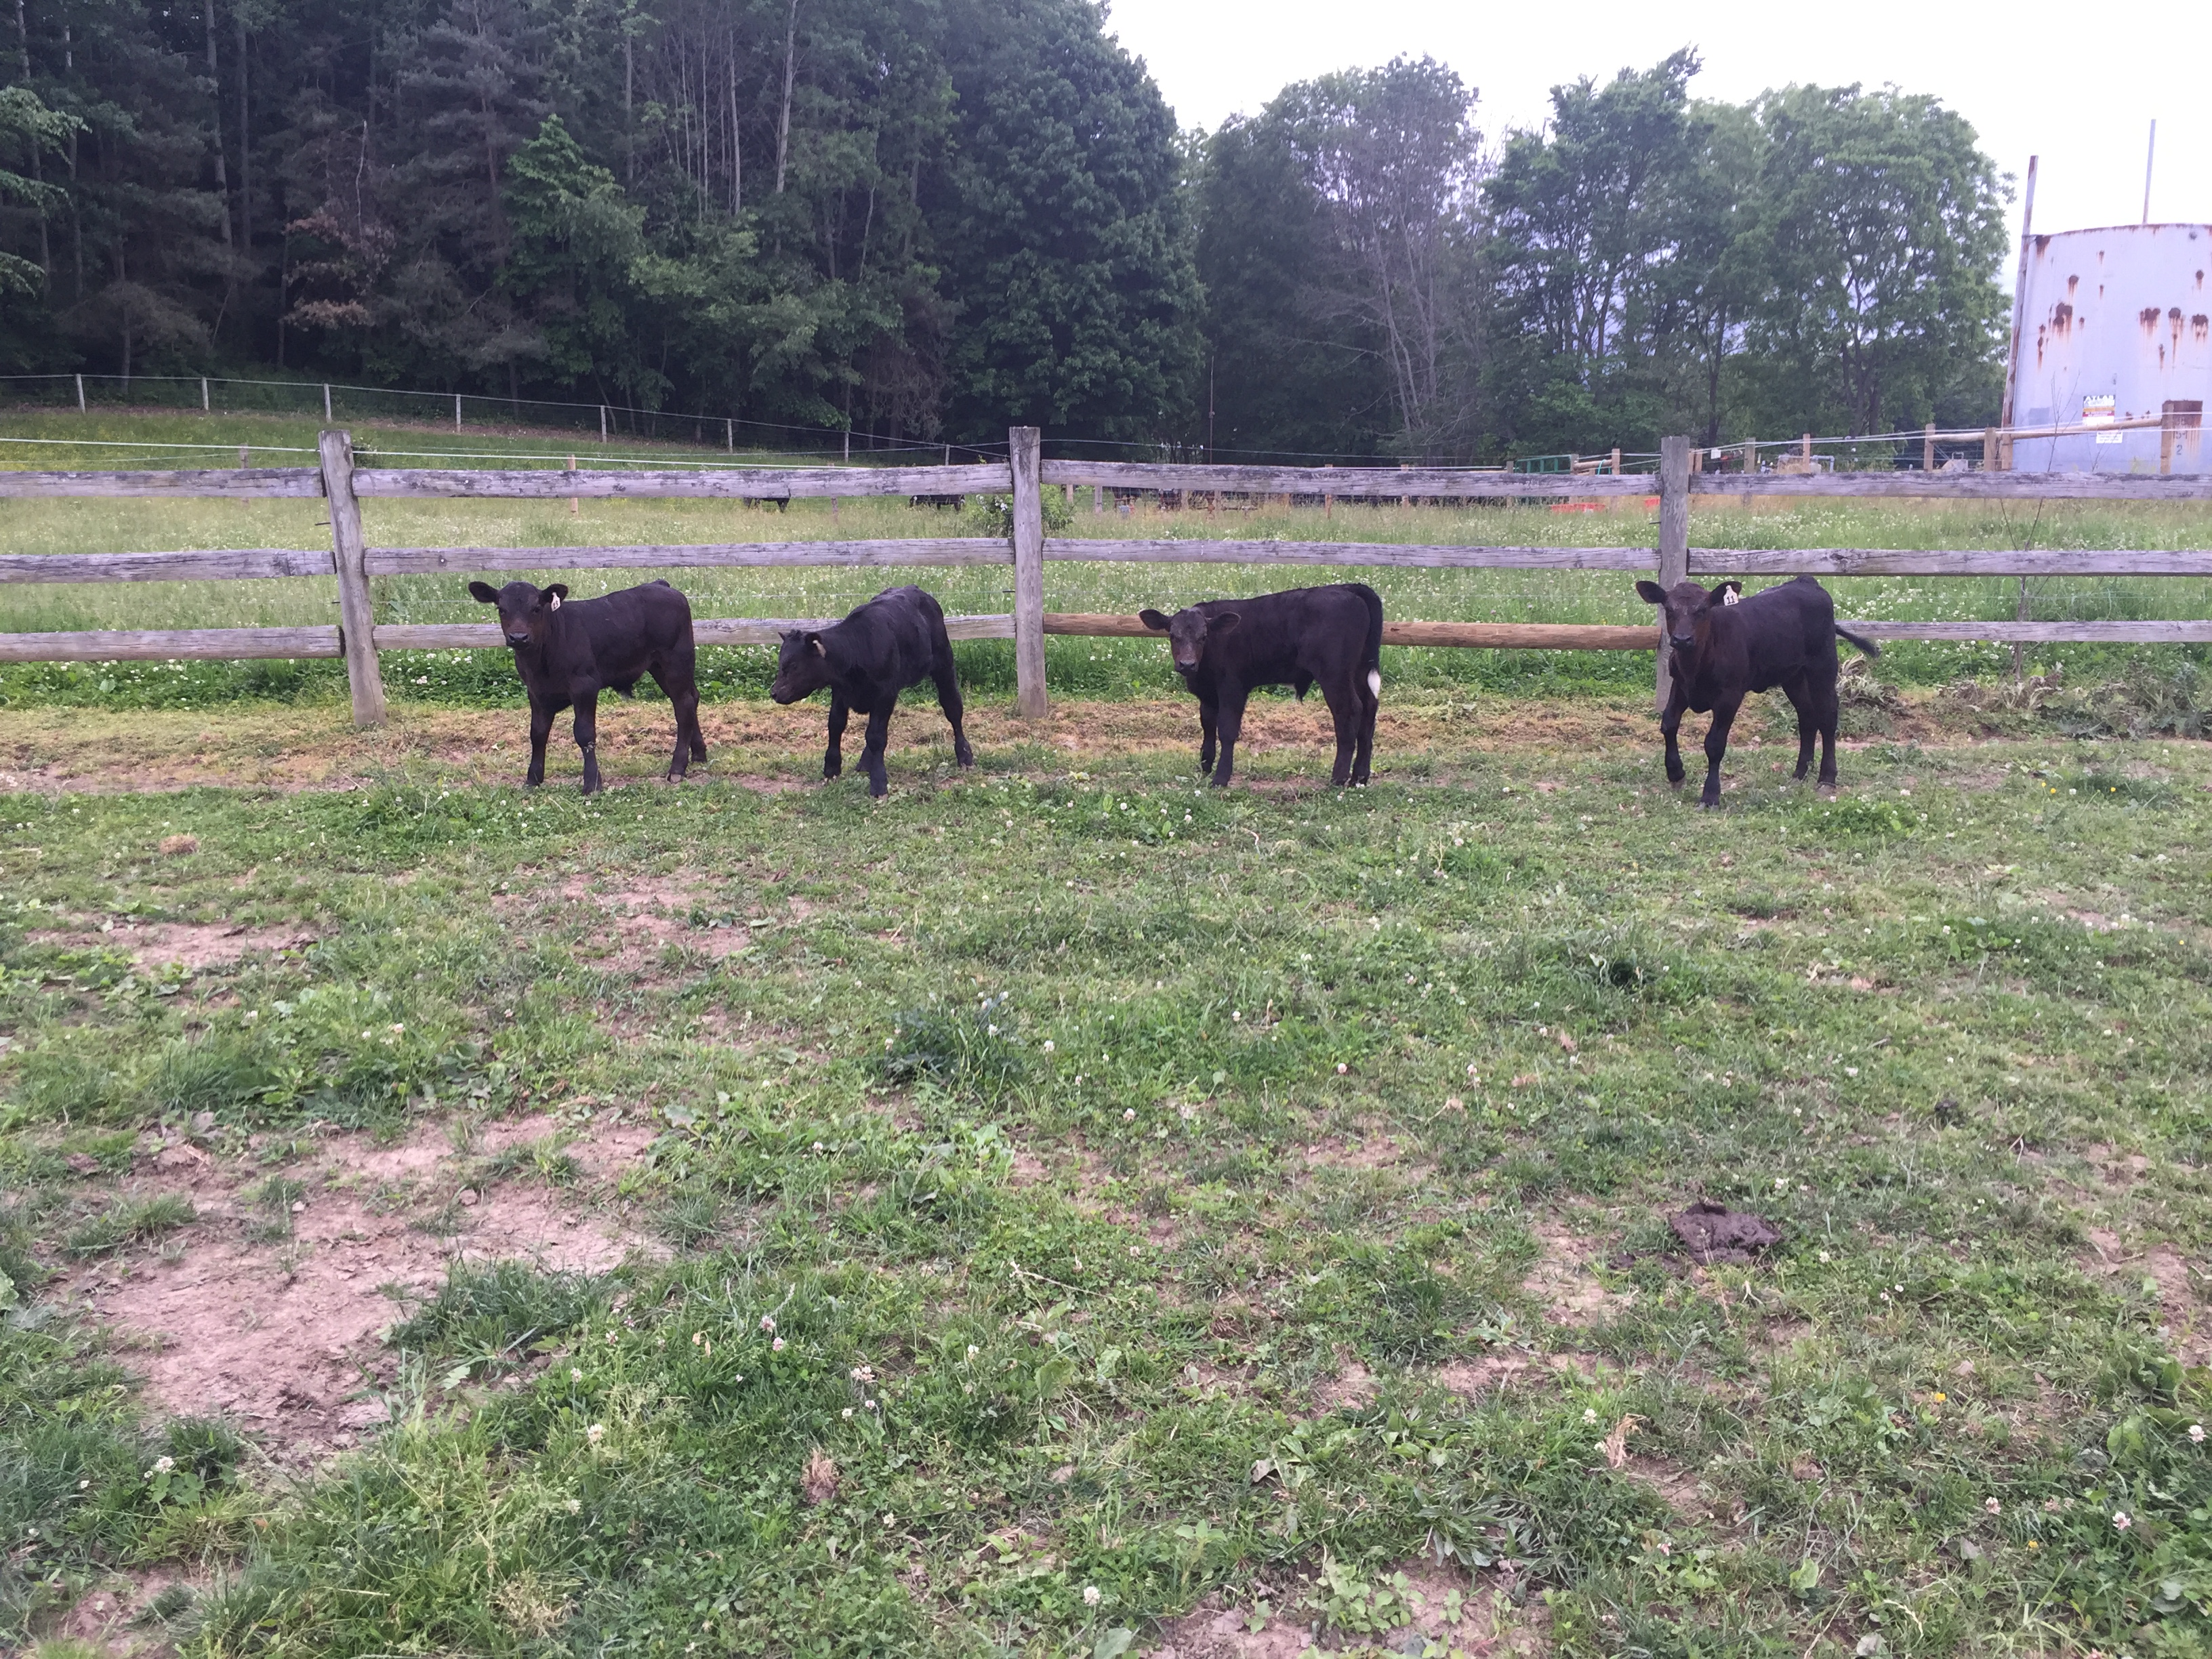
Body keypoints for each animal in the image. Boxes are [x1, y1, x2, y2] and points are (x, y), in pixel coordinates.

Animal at [467, 578, 705, 794]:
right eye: (502, 609)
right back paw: (699, 753)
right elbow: (537, 733)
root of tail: (661, 585)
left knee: (684, 705)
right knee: (691, 698)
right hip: (660, 667)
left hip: (676, 661)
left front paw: (592, 783)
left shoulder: (585, 686)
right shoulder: (536, 692)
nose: (518, 637)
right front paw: (533, 779)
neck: (541, 662)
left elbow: (584, 734)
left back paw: (677, 769)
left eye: (536, 608)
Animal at [768, 585, 974, 797]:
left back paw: (965, 756)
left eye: (793, 665)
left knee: (953, 707)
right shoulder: (841, 692)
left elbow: (876, 736)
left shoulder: (885, 693)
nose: (774, 692)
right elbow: (836, 725)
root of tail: (914, 588)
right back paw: (865, 762)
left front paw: (878, 783)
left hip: (944, 664)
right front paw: (832, 769)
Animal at [1136, 582, 1383, 788]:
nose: (1187, 664)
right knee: (1369, 708)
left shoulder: (1233, 688)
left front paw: (1221, 778)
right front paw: (1205, 766)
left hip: (1335, 674)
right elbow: (1207, 725)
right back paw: (1360, 777)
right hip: (1360, 670)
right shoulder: (1207, 694)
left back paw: (1338, 779)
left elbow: (1226, 730)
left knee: (1349, 711)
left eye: (1203, 637)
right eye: (1172, 635)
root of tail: (1348, 588)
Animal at [1636, 573, 1881, 807]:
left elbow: (1714, 743)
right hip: (1793, 677)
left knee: (1828, 717)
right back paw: (1799, 774)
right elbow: (1668, 724)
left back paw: (1827, 779)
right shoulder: (1680, 686)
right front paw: (1676, 774)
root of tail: (1806, 581)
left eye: (1702, 610)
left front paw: (1710, 796)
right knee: (1807, 716)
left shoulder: (1730, 696)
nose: (1682, 639)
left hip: (1823, 665)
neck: (1695, 667)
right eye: (1669, 610)